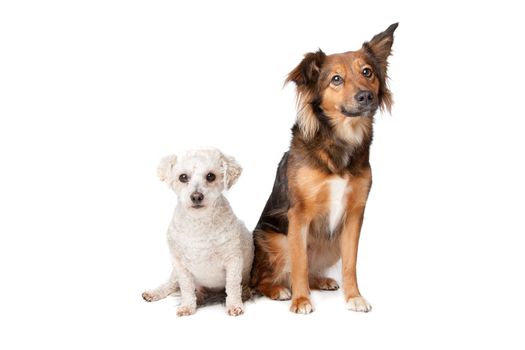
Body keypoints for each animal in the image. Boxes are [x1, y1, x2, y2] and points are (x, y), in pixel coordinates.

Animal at [141, 149, 252, 316]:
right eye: (183, 177)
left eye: (211, 176)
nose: (196, 196)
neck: (200, 222)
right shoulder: (180, 264)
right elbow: (186, 288)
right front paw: (187, 306)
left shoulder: (233, 259)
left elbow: (232, 285)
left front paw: (234, 305)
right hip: (175, 273)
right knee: (171, 284)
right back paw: (155, 293)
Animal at [251, 23, 398, 314]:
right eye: (336, 79)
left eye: (367, 72)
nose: (366, 96)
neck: (340, 142)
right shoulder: (298, 216)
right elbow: (299, 263)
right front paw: (301, 300)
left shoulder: (354, 216)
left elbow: (350, 264)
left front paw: (354, 297)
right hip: (276, 239)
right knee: (262, 279)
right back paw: (279, 290)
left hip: (331, 243)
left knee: (311, 270)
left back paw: (321, 281)